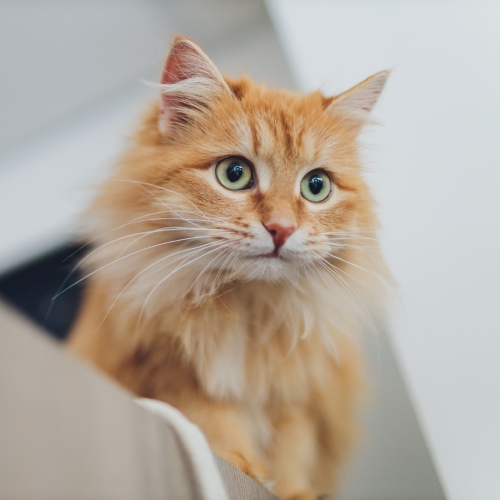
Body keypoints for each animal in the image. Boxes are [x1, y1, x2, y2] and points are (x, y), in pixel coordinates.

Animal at [67, 33, 390, 498]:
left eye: (316, 186)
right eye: (234, 174)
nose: (281, 229)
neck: (248, 310)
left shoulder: (298, 392)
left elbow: (293, 447)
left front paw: (291, 489)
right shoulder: (170, 369)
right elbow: (212, 420)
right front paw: (244, 464)